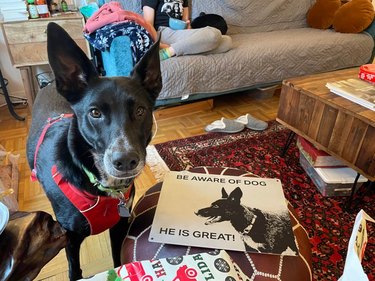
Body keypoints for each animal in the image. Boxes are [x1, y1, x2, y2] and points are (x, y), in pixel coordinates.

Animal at [26, 21, 162, 278]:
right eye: (95, 113)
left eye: (140, 111)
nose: (125, 160)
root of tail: (50, 83)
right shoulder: (69, 239)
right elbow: (74, 270)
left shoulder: (119, 227)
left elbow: (118, 260)